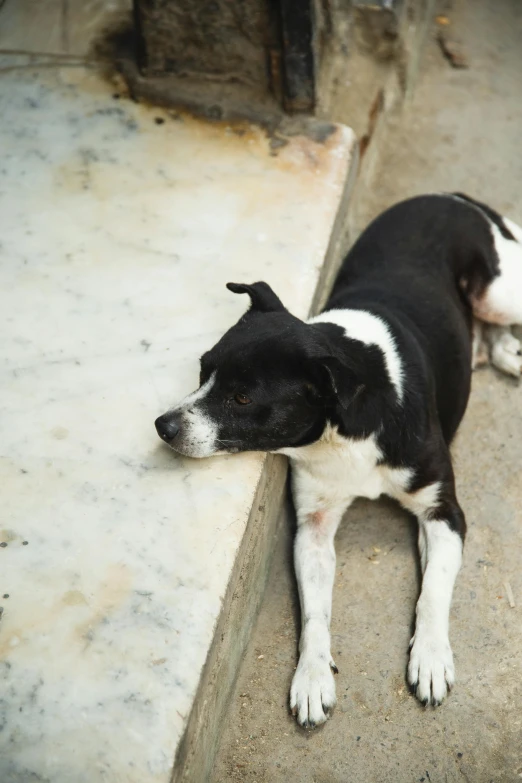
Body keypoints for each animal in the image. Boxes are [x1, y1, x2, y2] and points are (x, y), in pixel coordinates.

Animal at [154, 194, 520, 728]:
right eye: (203, 371)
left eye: (242, 398)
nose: (163, 426)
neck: (343, 431)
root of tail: (451, 196)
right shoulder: (314, 525)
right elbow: (315, 614)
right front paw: (312, 677)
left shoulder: (442, 511)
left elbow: (433, 590)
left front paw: (431, 658)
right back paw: (499, 347)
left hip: (498, 292)